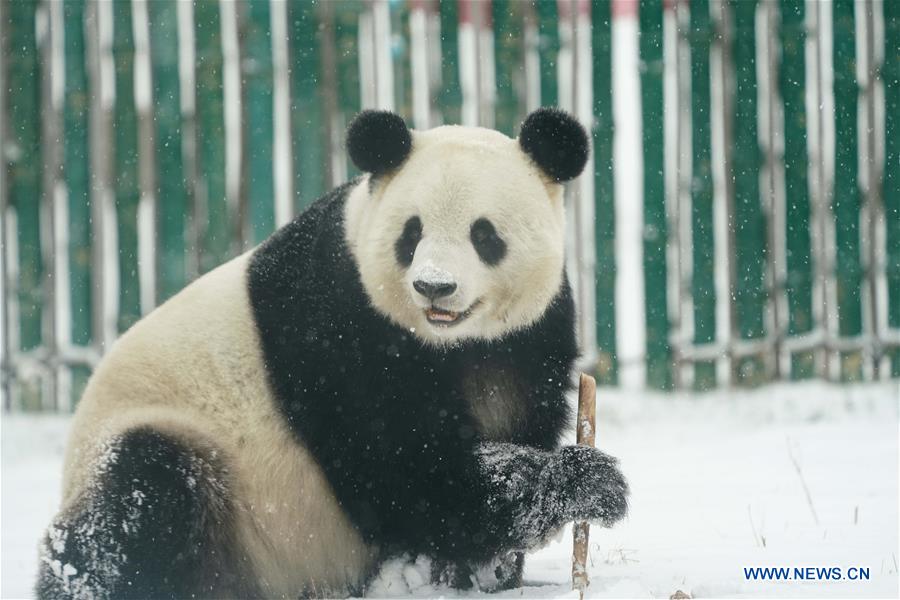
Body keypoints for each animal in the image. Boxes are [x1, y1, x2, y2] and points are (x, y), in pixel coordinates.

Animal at [38, 109, 628, 600]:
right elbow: (406, 467)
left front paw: (484, 567)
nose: (434, 287)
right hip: (174, 440)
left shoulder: (528, 338)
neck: (448, 344)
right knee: (137, 499)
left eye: (484, 234)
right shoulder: (339, 326)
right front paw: (584, 481)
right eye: (411, 233)